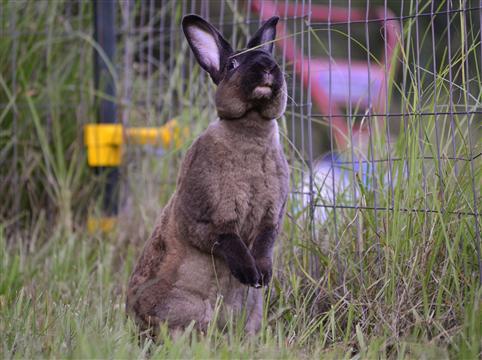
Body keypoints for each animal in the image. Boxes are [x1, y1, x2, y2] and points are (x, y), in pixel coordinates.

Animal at [126, 14, 288, 338]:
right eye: (232, 65)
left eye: (270, 57)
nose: (267, 67)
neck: (251, 127)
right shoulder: (205, 217)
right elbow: (225, 240)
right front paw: (249, 273)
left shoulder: (271, 215)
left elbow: (265, 241)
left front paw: (262, 275)